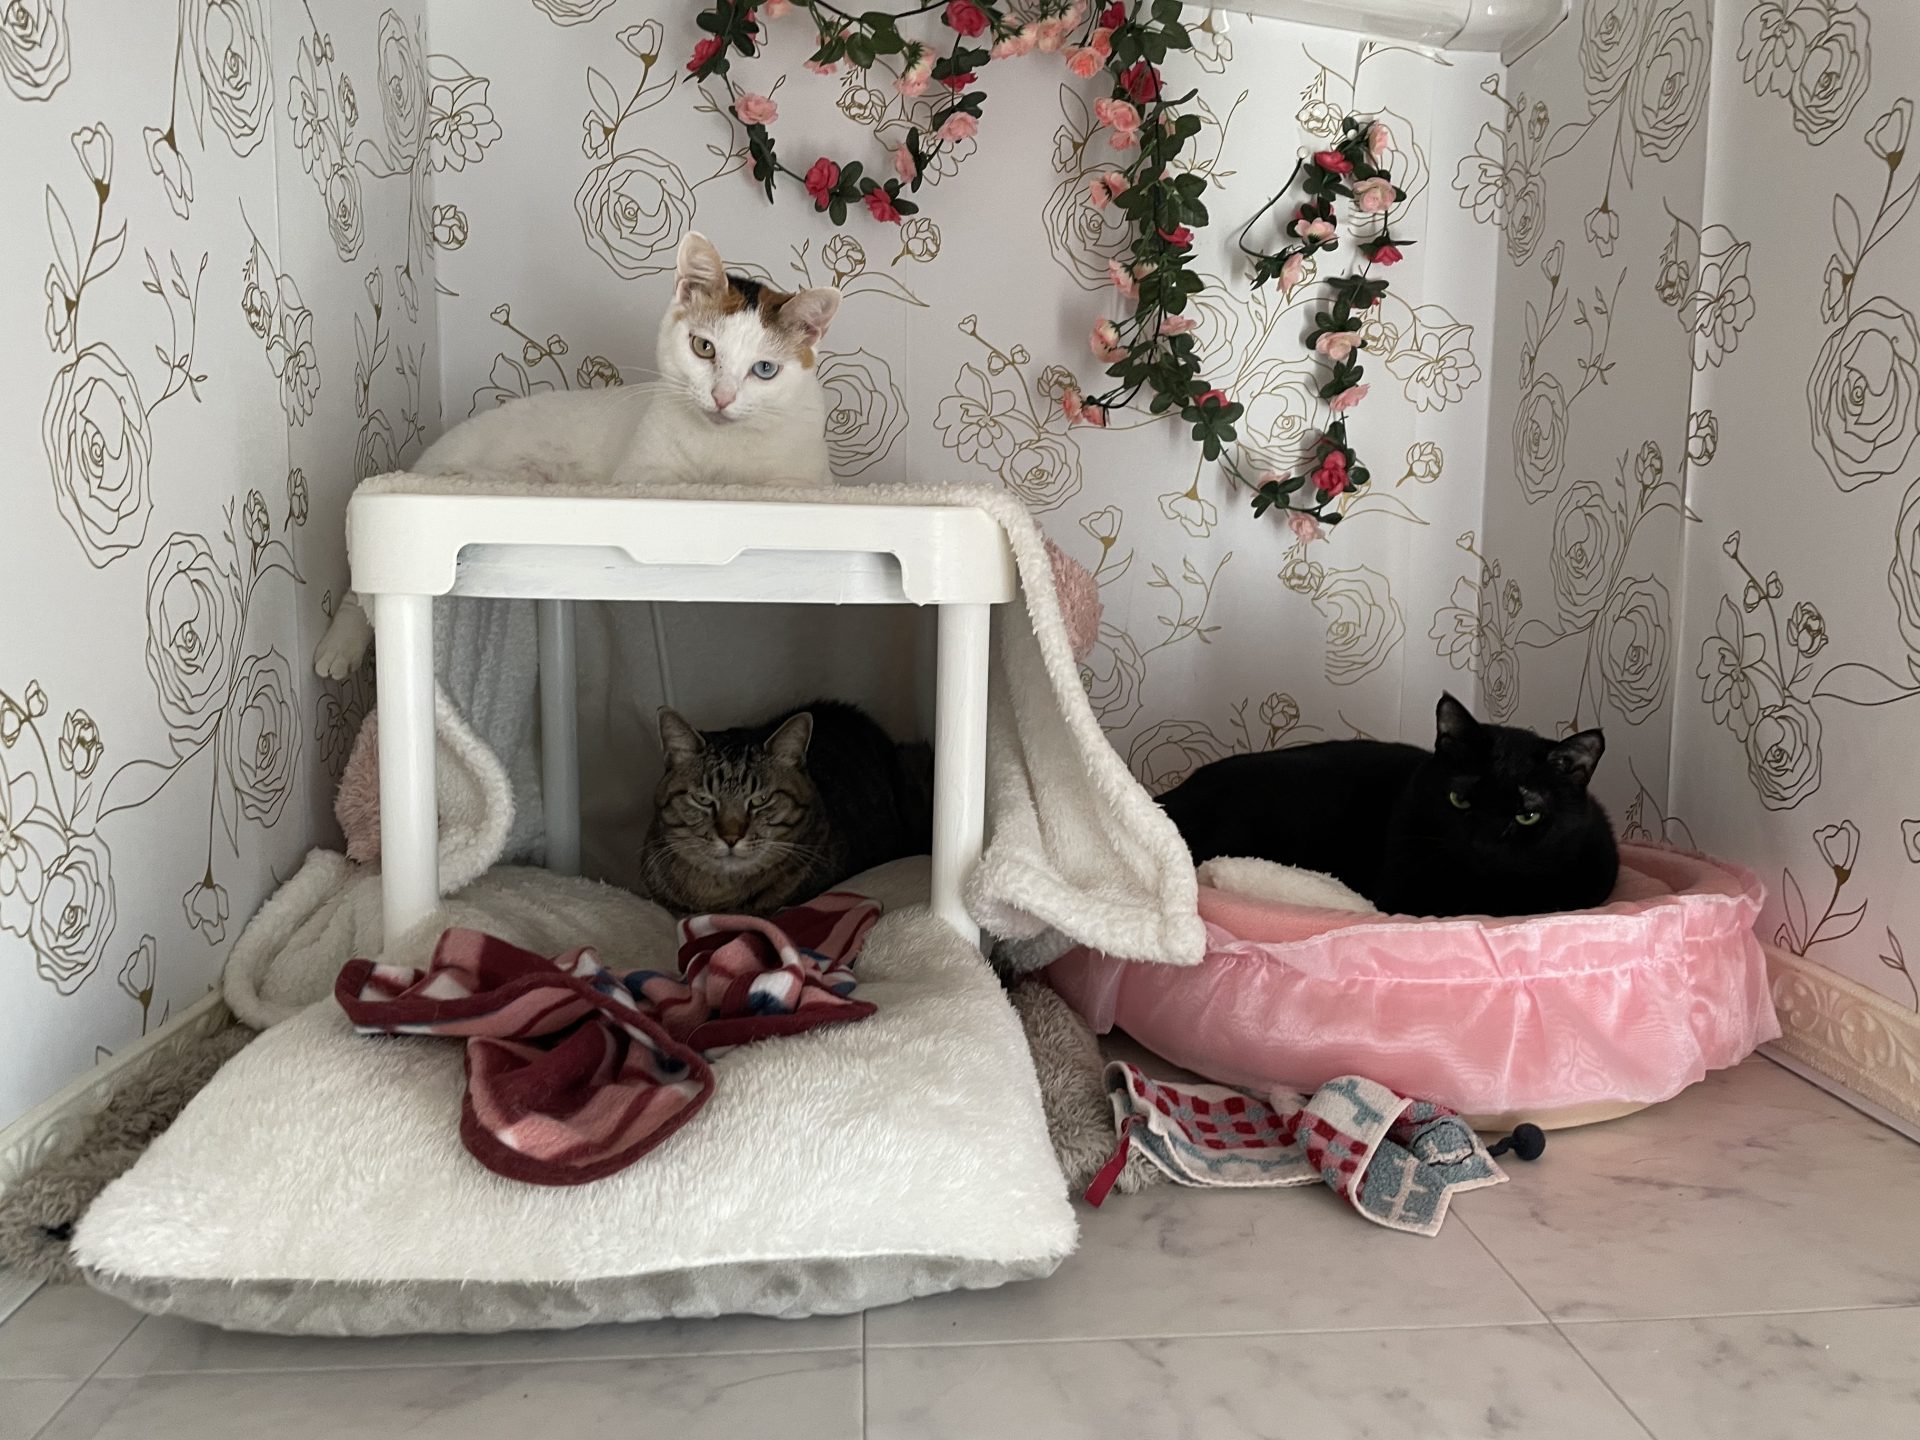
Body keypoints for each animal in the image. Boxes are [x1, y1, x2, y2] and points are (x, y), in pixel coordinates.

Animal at [312, 231, 841, 680]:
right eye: (703, 347)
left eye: (765, 370)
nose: (723, 398)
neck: (722, 447)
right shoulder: (642, 474)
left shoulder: (808, 480)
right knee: (359, 593)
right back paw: (338, 649)